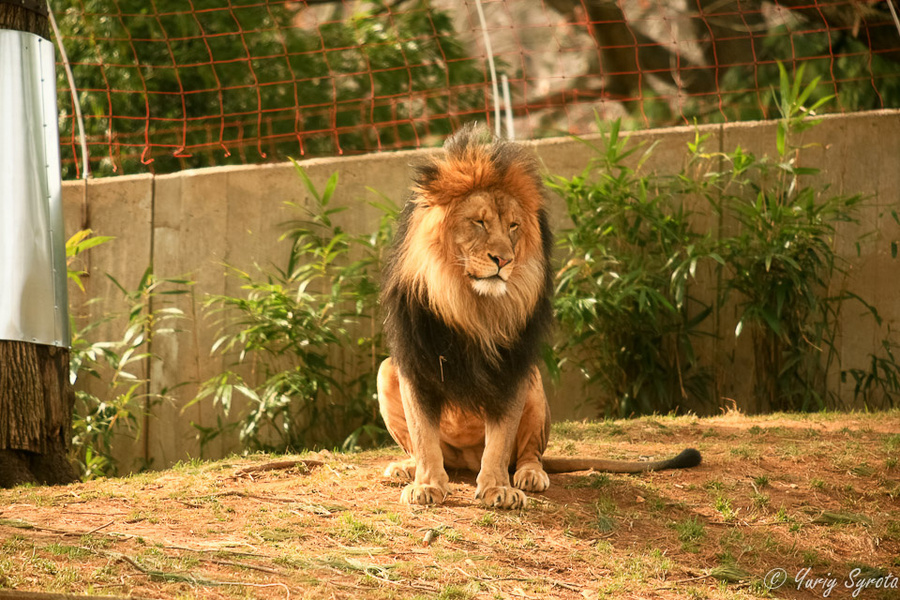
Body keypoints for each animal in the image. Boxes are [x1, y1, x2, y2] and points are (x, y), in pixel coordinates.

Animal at [376, 124, 700, 508]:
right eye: (479, 222)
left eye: (514, 226)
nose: (503, 259)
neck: (472, 305)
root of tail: (466, 460)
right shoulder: (416, 363)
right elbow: (423, 435)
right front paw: (426, 485)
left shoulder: (513, 367)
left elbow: (500, 440)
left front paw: (498, 488)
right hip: (387, 372)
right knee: (424, 447)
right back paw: (406, 467)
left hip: (533, 384)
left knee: (529, 454)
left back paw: (529, 476)